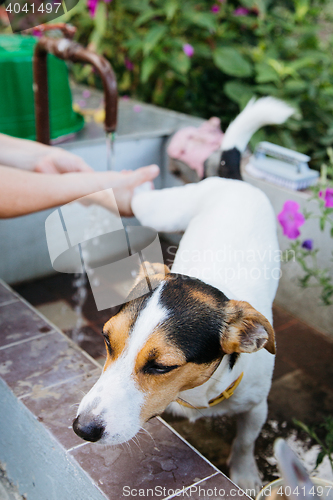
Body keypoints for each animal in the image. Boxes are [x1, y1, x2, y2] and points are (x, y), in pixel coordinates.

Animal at [73, 96, 294, 488]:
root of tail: (231, 179)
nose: (83, 429)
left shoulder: (257, 407)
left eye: (162, 367)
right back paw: (130, 181)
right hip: (164, 212)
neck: (194, 394)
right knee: (142, 200)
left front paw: (245, 473)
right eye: (107, 340)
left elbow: (245, 440)